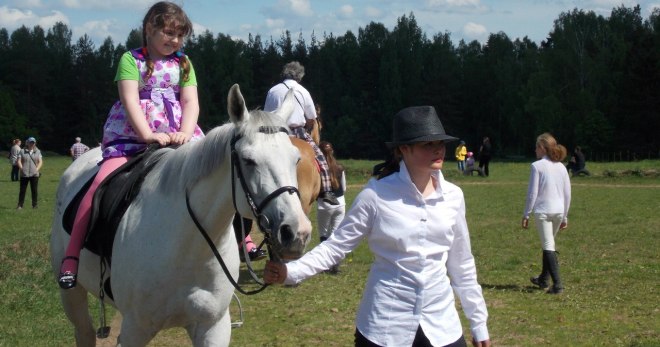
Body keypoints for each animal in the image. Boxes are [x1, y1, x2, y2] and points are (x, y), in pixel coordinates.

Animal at [49, 85, 312, 347]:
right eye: (248, 160)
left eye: (297, 159)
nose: (296, 232)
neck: (188, 247)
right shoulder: (135, 328)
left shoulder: (213, 327)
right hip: (72, 294)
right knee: (84, 330)